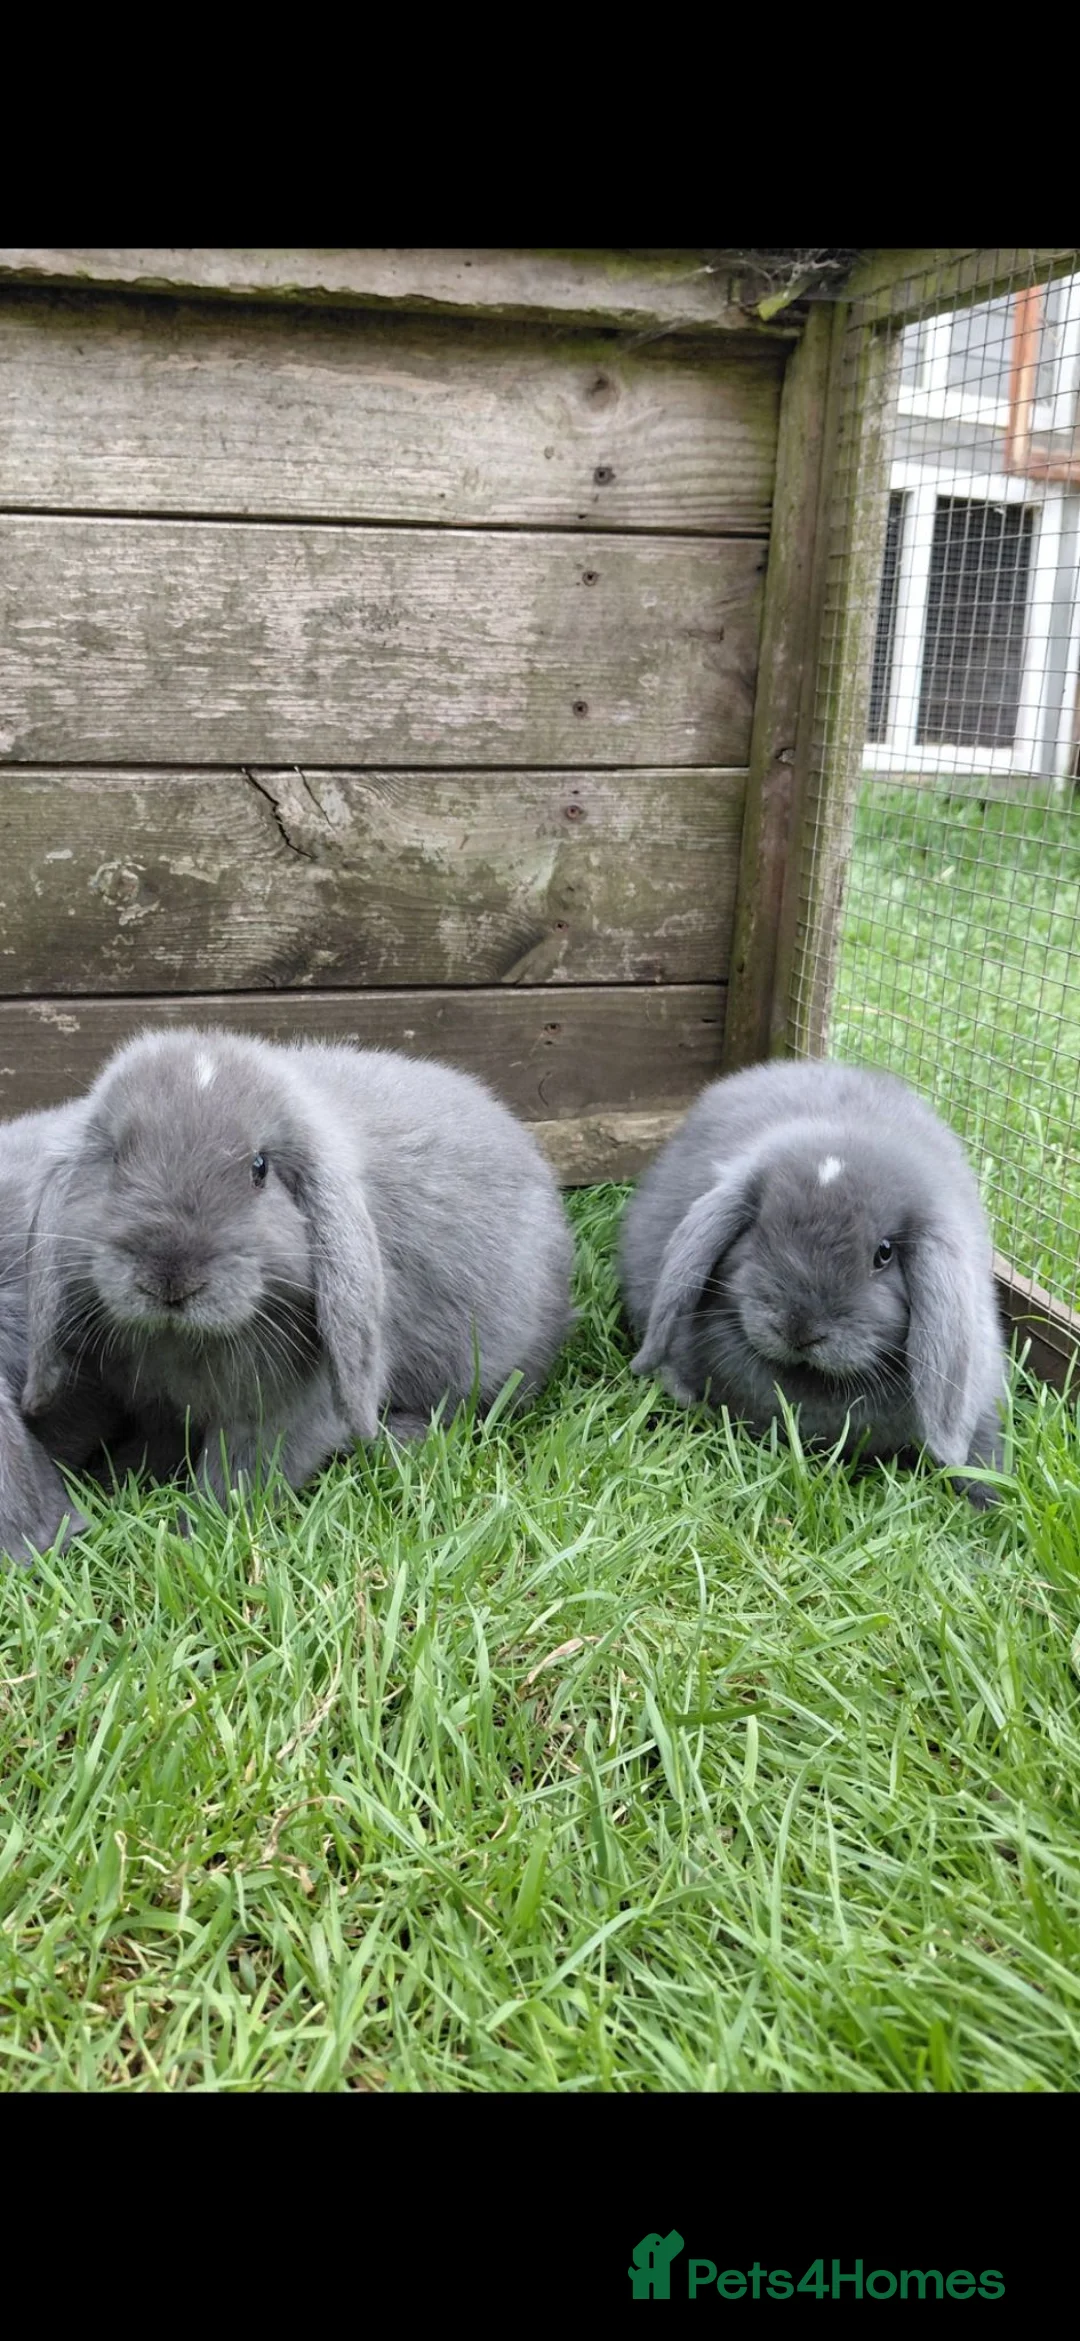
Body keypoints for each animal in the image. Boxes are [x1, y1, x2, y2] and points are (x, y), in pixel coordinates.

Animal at [21, 1028, 575, 1506]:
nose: (171, 1279)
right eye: (116, 1158)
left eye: (259, 1168)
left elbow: (241, 1474)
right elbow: (157, 1445)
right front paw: (117, 1483)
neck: (181, 1341)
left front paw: (198, 1525)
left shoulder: (284, 1413)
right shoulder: (158, 1405)